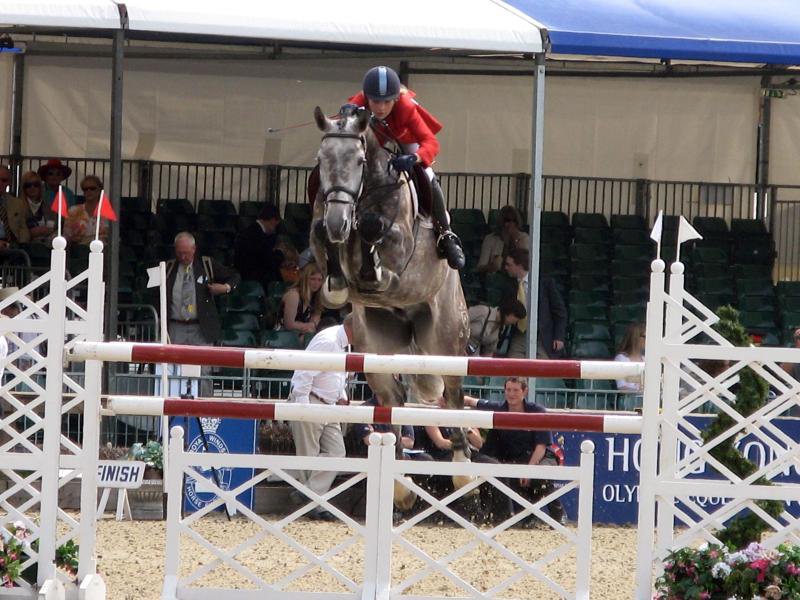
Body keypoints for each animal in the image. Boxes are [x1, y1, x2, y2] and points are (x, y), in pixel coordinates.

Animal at [306, 108, 468, 480]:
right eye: (322, 160)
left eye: (359, 160)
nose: (339, 220)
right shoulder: (323, 227)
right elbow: (322, 234)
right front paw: (337, 286)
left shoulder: (399, 248)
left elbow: (372, 229)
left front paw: (370, 268)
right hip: (377, 349)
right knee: (393, 400)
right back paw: (399, 479)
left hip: (446, 341)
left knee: (453, 398)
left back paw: (462, 465)